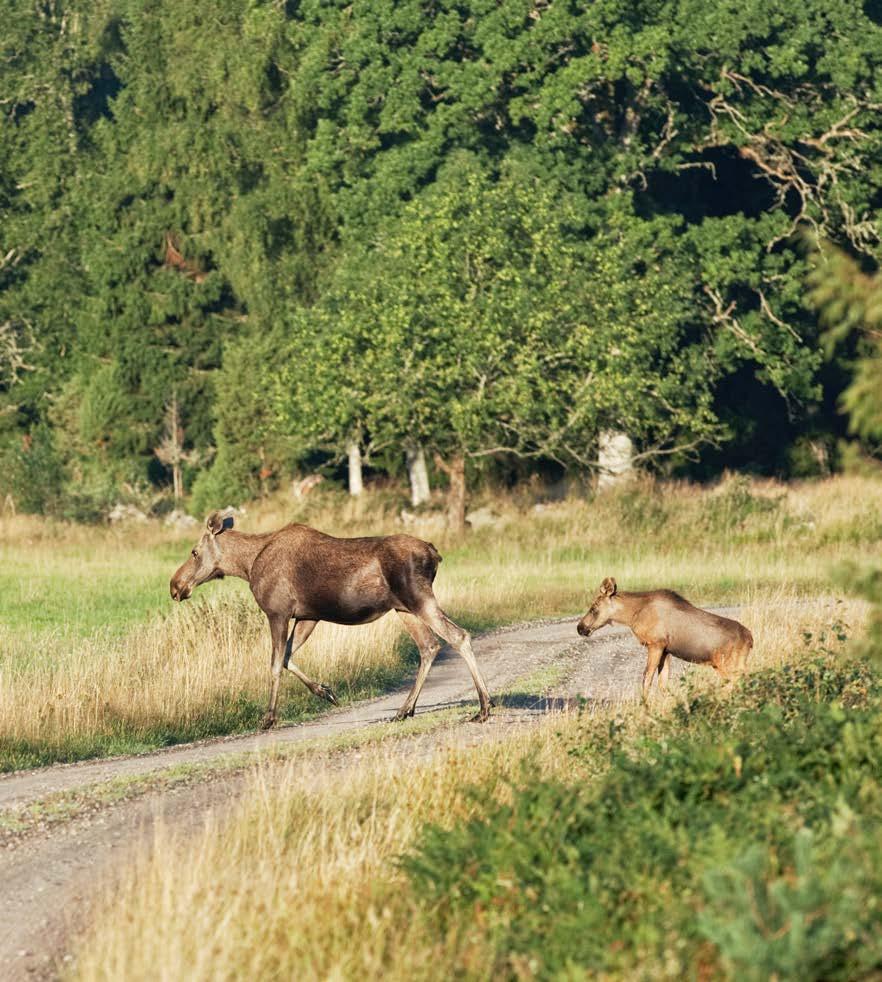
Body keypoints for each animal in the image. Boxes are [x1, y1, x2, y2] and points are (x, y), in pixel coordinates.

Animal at [168, 516, 492, 732]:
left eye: (194, 552)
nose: (175, 586)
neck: (247, 566)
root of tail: (434, 553)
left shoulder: (277, 612)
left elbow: (274, 663)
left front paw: (269, 718)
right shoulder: (308, 616)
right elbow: (287, 658)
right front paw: (327, 691)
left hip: (418, 599)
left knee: (458, 636)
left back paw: (483, 707)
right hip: (404, 608)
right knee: (429, 646)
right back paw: (404, 710)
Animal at [576, 576, 752, 700]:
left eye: (593, 608)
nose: (580, 628)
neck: (632, 616)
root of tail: (750, 639)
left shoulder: (655, 644)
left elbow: (646, 678)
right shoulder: (666, 650)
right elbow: (663, 684)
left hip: (726, 663)